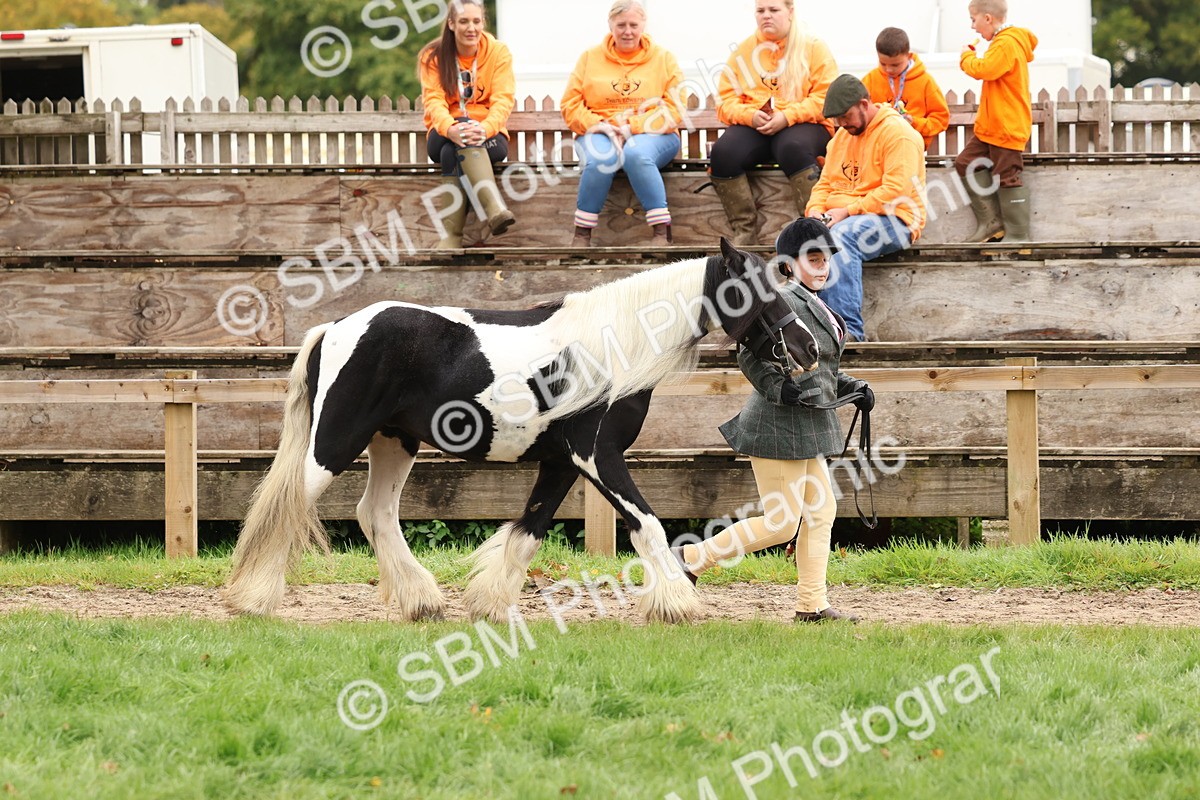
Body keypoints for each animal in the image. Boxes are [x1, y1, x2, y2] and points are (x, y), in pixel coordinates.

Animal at [223, 238, 820, 625]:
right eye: (759, 291)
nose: (811, 347)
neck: (615, 347)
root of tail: (335, 327)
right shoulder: (597, 457)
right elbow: (648, 526)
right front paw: (677, 602)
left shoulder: (560, 464)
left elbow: (528, 533)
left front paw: (487, 604)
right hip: (336, 441)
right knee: (288, 505)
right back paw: (253, 600)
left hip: (394, 442)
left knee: (376, 514)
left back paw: (423, 602)